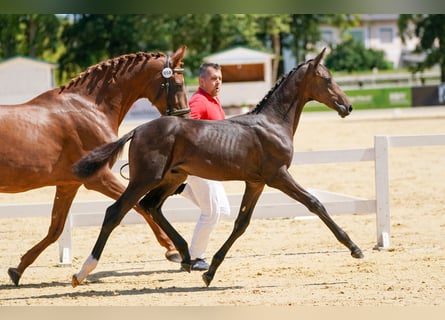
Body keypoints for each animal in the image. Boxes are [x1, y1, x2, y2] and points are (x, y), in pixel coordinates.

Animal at [3, 44, 191, 284]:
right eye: (178, 84)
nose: (184, 120)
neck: (90, 108)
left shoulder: (68, 184)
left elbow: (55, 228)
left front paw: (18, 268)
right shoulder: (98, 178)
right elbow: (137, 206)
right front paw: (172, 250)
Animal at [71, 48, 362, 288]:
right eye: (326, 79)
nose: (347, 106)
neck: (273, 123)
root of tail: (138, 129)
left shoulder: (255, 182)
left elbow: (241, 224)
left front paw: (210, 272)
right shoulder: (278, 175)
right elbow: (315, 203)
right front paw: (354, 248)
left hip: (171, 178)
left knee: (151, 206)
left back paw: (186, 255)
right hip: (145, 178)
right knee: (116, 212)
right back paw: (82, 272)